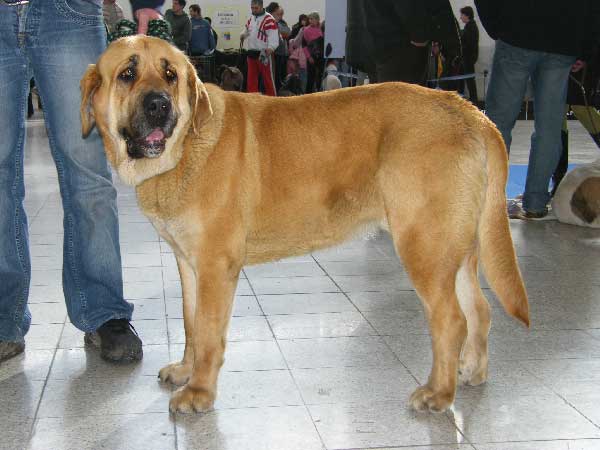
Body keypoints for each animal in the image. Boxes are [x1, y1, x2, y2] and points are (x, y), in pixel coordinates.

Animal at [81, 36, 528, 414]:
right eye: (127, 74)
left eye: (170, 74)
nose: (159, 104)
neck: (186, 147)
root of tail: (469, 110)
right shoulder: (188, 265)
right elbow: (191, 325)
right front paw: (185, 372)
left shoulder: (215, 267)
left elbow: (208, 334)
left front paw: (199, 393)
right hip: (456, 250)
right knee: (480, 310)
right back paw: (472, 371)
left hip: (424, 247)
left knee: (451, 322)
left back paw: (438, 393)